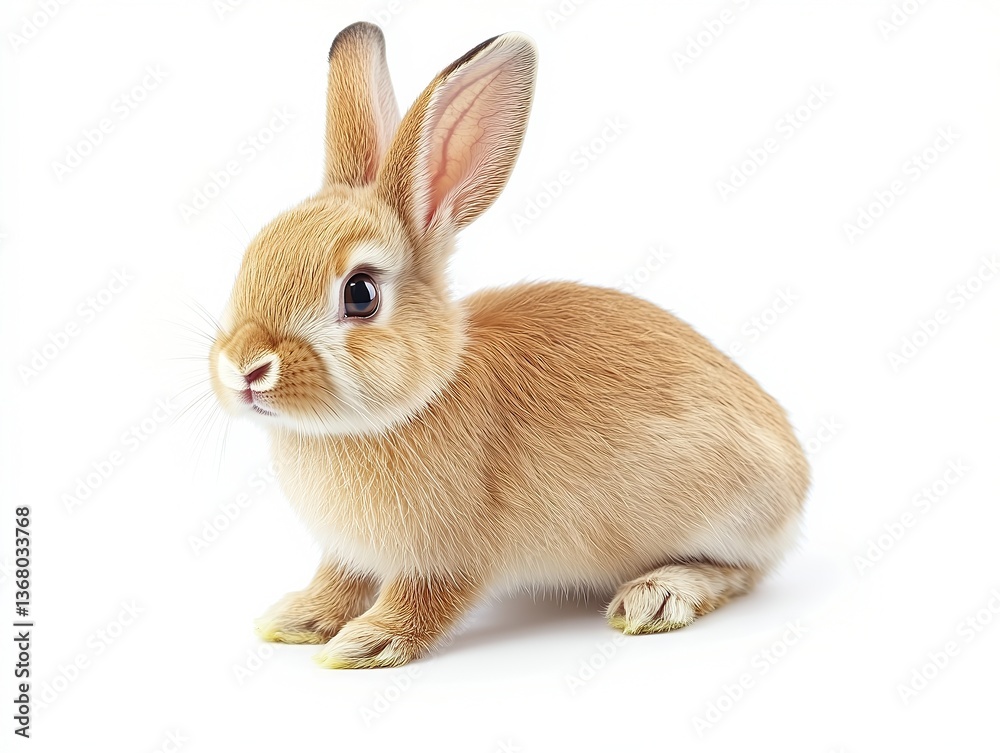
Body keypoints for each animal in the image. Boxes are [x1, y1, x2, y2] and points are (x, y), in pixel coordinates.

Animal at [209, 21, 809, 669]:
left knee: (742, 572)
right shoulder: (347, 555)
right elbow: (337, 581)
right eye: (251, 258)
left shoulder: (445, 556)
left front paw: (365, 644)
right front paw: (296, 619)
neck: (415, 399)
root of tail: (798, 475)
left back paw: (656, 596)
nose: (244, 368)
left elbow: (422, 603)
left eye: (361, 293)